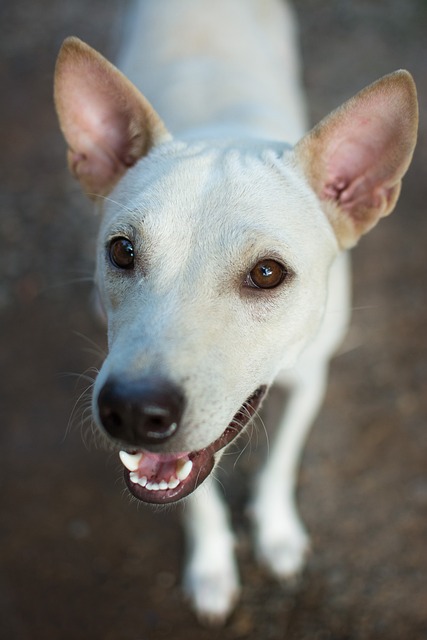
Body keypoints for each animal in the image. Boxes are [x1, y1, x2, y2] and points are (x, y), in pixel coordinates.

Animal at [53, 0, 418, 624]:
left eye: (267, 274)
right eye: (122, 251)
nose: (132, 411)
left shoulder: (311, 379)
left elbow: (279, 464)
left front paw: (276, 534)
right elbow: (195, 499)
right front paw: (211, 568)